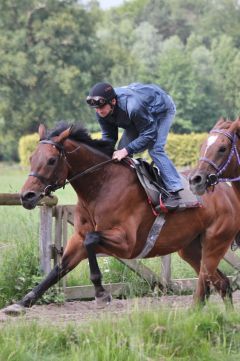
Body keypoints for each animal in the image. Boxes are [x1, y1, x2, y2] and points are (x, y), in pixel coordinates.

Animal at [0, 120, 237, 312]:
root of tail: (226, 189)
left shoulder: (127, 243)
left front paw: (100, 293)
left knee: (210, 282)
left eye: (50, 160)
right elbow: (57, 269)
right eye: (32, 157)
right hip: (190, 248)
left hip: (215, 242)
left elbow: (91, 240)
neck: (102, 186)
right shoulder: (78, 239)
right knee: (221, 283)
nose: (27, 196)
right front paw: (21, 303)